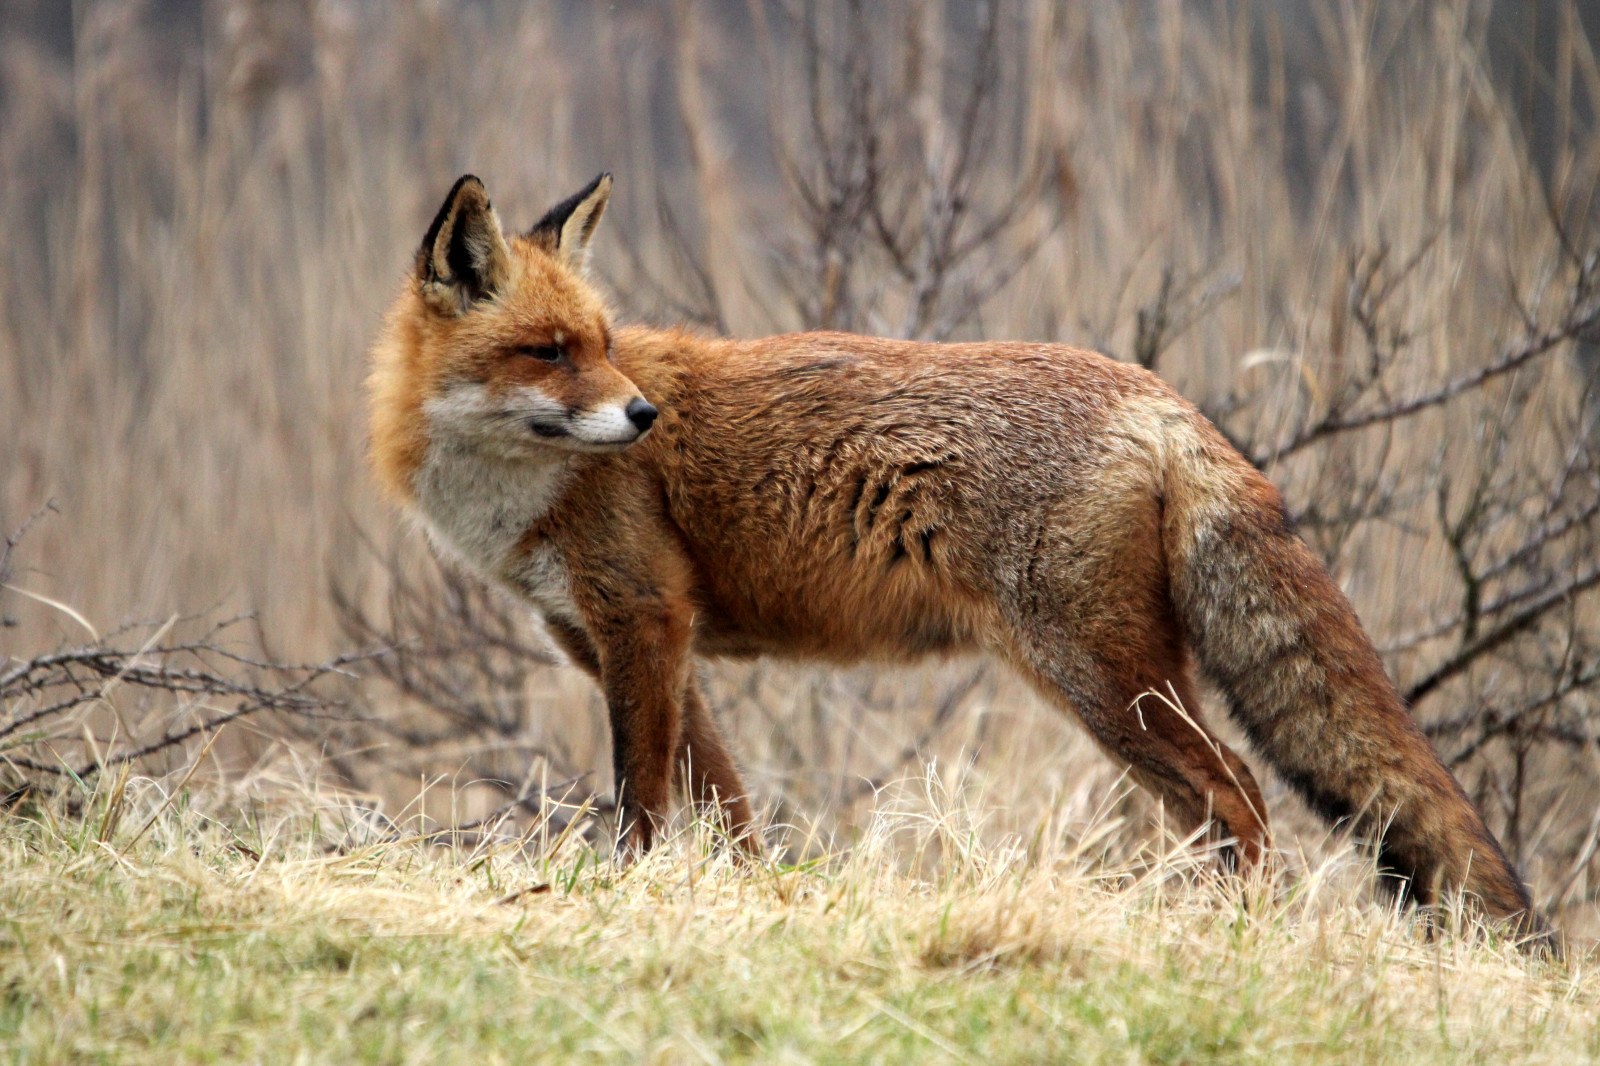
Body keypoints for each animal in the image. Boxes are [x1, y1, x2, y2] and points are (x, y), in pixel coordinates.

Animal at [367, 172, 1547, 938]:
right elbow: (727, 803)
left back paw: (1230, 939)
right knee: (1213, 808)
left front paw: (634, 896)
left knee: (1240, 796)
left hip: (1097, 674)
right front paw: (744, 899)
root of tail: (1160, 396)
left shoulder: (642, 619)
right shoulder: (628, 638)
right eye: (548, 351)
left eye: (603, 346)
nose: (644, 416)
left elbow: (643, 801)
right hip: (1116, 688)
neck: (513, 498)